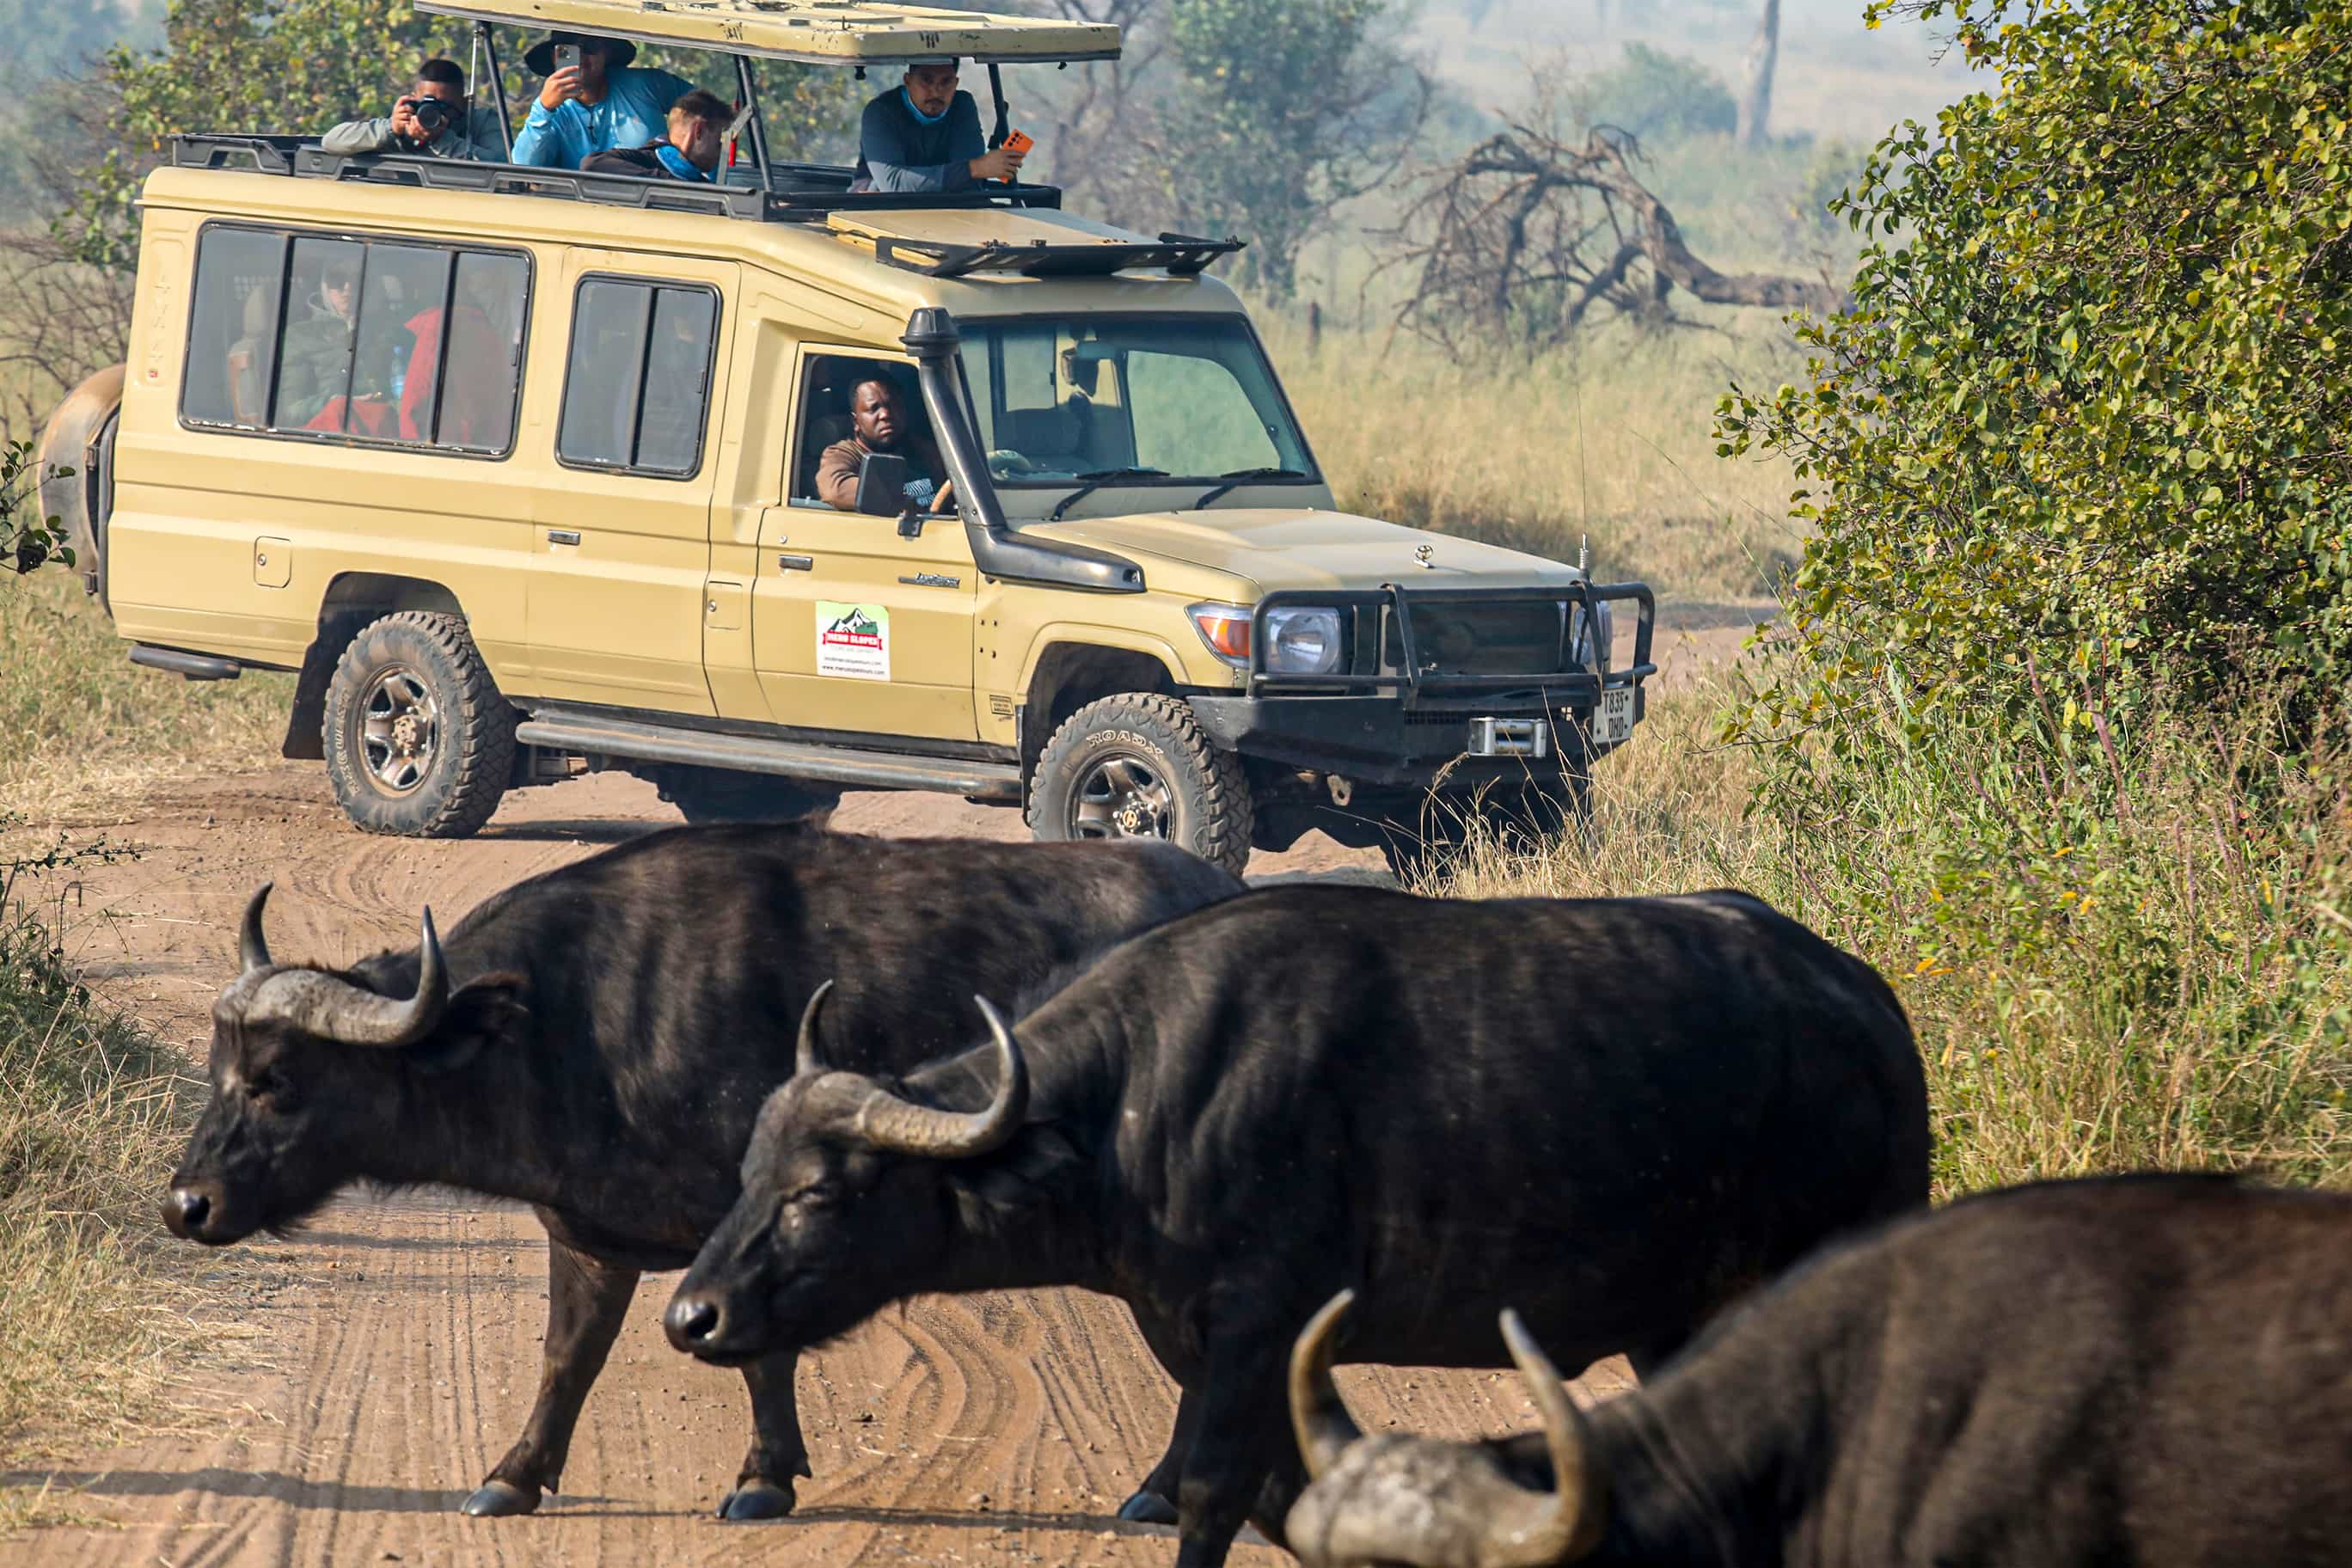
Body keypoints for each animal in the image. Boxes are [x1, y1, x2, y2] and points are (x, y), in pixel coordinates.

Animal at [158, 827, 1241, 1523]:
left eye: (277, 1081)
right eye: (218, 1071)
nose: (187, 1204)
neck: (566, 1022)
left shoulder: (756, 1224)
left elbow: (759, 1356)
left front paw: (763, 1480)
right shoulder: (585, 1238)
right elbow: (567, 1359)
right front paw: (512, 1477)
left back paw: (1157, 1493)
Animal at [663, 888, 1928, 1560]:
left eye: (821, 1192)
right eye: (748, 1173)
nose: (692, 1316)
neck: (1134, 1103)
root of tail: (1866, 1008)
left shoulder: (1257, 1330)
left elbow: (1218, 1491)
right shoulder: (1212, 1343)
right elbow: (1285, 1493)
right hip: (1675, 1326)